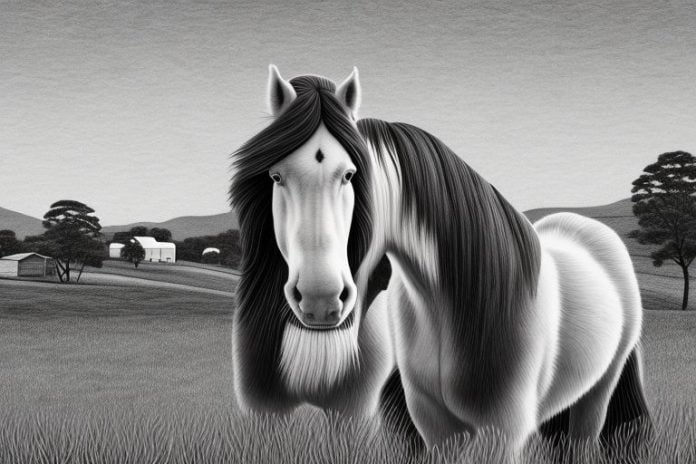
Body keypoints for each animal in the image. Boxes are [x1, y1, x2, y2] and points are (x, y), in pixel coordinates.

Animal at [230, 66, 651, 454]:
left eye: (350, 174)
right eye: (276, 176)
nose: (320, 300)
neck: (453, 306)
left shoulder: (503, 433)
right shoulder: (435, 426)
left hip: (597, 393)